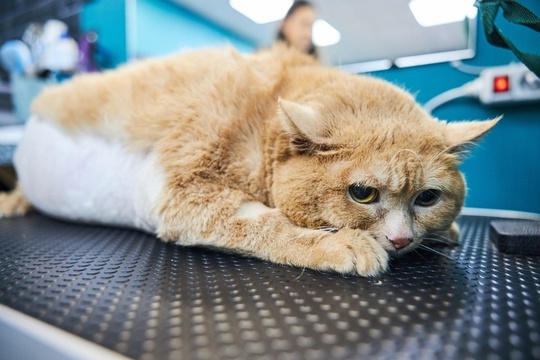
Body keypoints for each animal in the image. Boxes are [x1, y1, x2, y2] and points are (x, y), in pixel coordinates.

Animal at [0, 44, 498, 276]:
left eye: (427, 198)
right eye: (362, 193)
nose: (400, 240)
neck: (262, 114)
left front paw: (443, 232)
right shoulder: (183, 192)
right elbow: (267, 223)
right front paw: (336, 244)